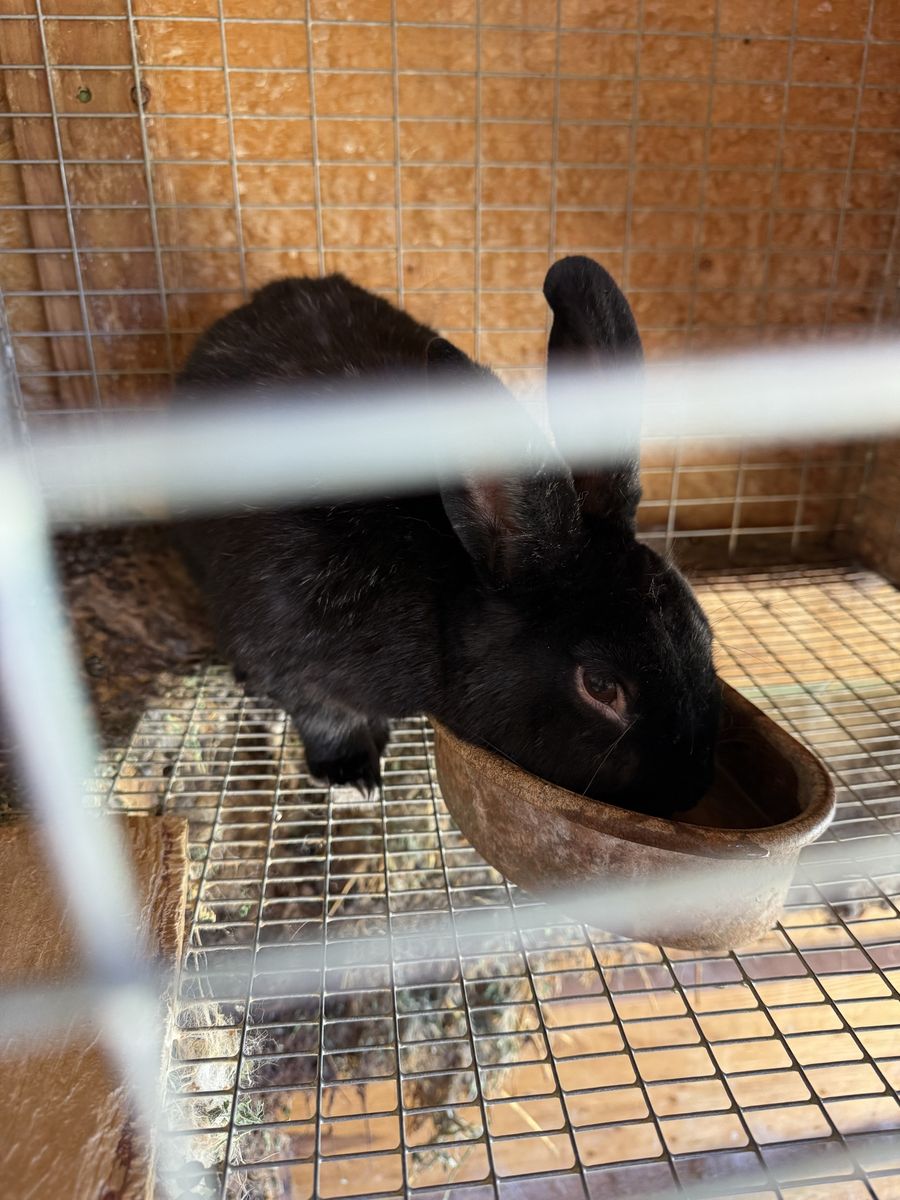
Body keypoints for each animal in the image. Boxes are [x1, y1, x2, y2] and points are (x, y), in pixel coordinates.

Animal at [172, 256, 720, 817]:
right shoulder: (288, 655)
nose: (688, 787)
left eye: (704, 634)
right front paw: (353, 777)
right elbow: (326, 719)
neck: (444, 604)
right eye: (601, 685)